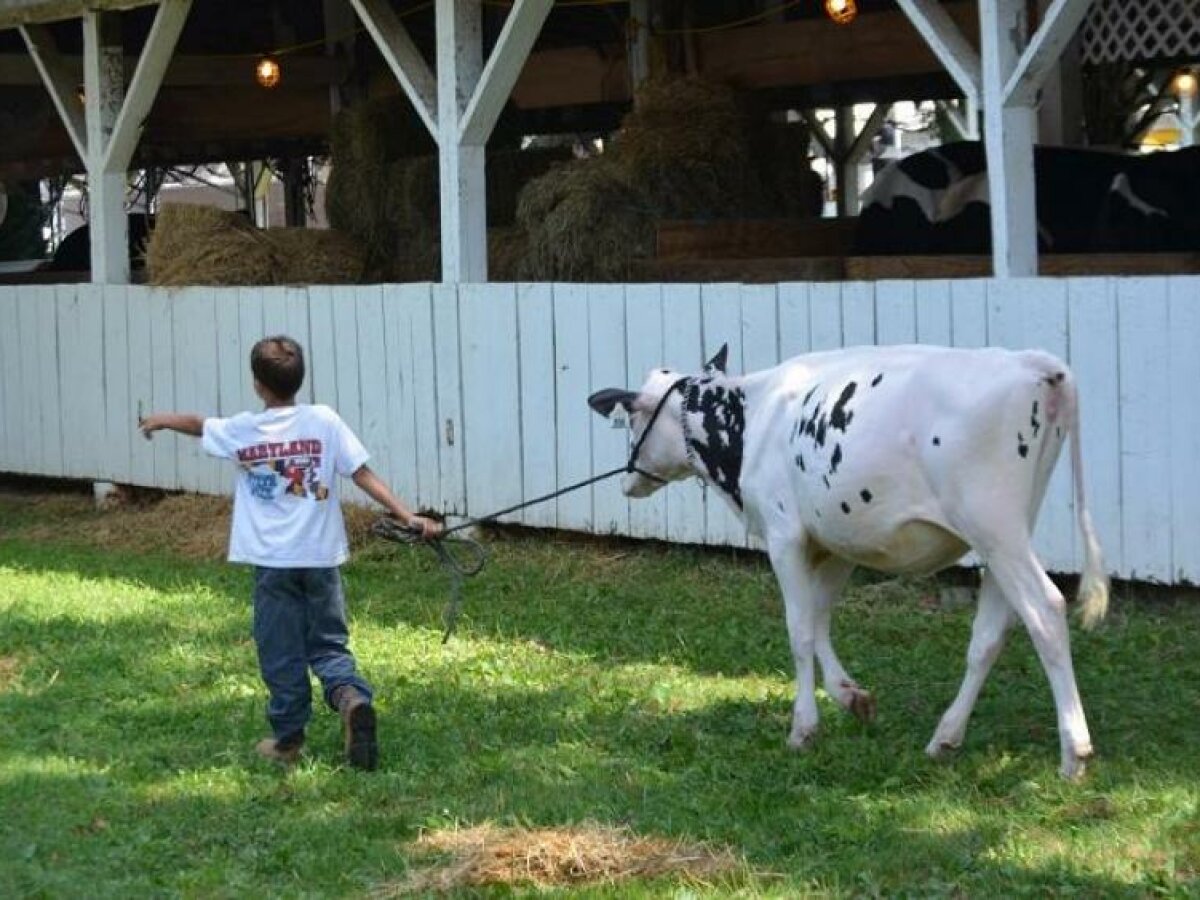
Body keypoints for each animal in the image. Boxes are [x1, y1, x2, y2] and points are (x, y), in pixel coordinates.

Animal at [588, 345, 1104, 782]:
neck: (751, 419)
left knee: (1046, 610)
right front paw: (850, 697)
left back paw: (1073, 753)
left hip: (993, 524)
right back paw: (945, 737)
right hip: (1009, 530)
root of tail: (1030, 362)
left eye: (632, 418)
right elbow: (820, 619)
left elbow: (799, 631)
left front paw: (803, 727)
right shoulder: (838, 540)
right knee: (991, 633)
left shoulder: (785, 536)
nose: (628, 480)